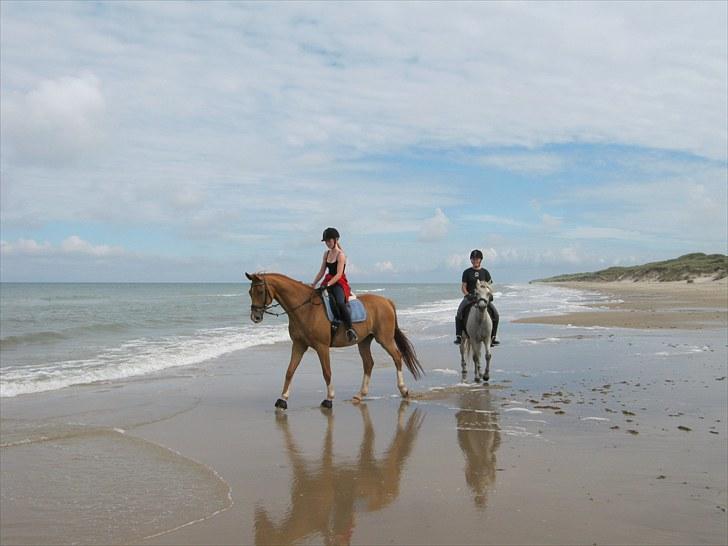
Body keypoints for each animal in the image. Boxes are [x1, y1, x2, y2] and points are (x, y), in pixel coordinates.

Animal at [247, 270, 424, 406]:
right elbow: (290, 371)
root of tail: (387, 301)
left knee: (397, 357)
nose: (255, 317)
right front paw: (283, 399)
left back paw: (403, 389)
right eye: (250, 292)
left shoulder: (322, 346)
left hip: (384, 338)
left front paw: (329, 399)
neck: (306, 308)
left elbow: (327, 372)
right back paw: (360, 395)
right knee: (369, 363)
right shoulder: (299, 345)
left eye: (260, 292)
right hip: (364, 341)